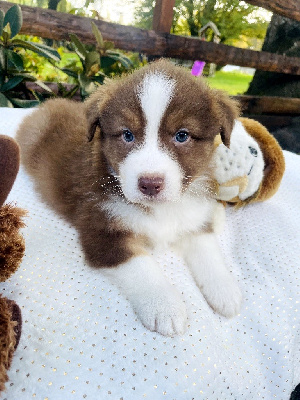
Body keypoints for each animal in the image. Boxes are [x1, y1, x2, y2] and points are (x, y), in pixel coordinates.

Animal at [15, 58, 241, 334]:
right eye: (127, 135)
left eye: (182, 135)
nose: (150, 184)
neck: (161, 209)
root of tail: (48, 104)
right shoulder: (102, 230)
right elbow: (142, 266)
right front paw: (164, 305)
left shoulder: (192, 217)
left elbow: (207, 249)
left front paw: (225, 289)